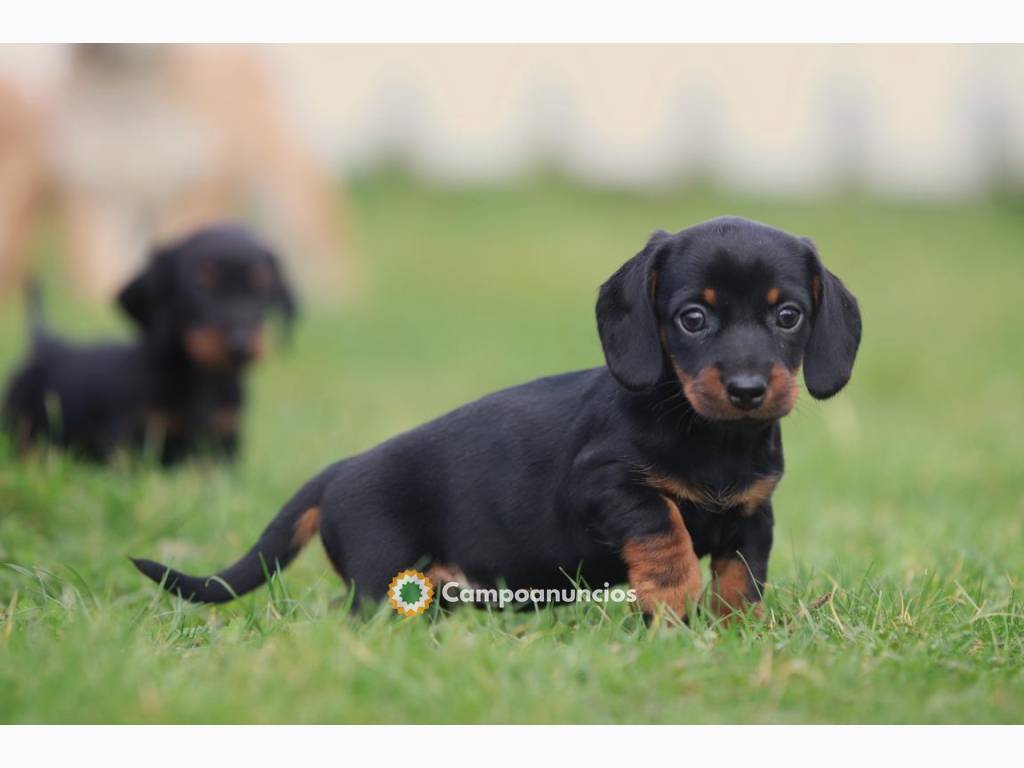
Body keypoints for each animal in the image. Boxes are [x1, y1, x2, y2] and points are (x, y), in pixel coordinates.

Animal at [134, 215, 856, 618]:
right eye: (693, 318)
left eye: (787, 315)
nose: (747, 390)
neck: (709, 436)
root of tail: (339, 471)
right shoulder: (609, 486)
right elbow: (665, 531)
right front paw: (673, 602)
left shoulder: (753, 513)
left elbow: (742, 576)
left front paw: (733, 630)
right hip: (380, 568)